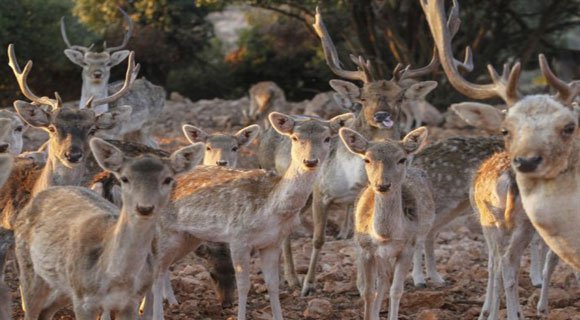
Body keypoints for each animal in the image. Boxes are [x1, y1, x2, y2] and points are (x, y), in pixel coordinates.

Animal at [13, 138, 202, 320]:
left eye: (168, 179)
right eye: (125, 178)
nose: (145, 208)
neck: (118, 278)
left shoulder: (130, 302)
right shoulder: (83, 301)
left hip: (63, 287)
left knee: (46, 312)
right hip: (30, 268)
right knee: (31, 310)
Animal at [61, 8, 165, 147]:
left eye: (108, 63)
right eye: (85, 63)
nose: (97, 73)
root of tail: (161, 90)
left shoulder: (115, 134)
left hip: (147, 125)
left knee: (155, 144)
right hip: (134, 132)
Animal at [340, 126, 436, 320]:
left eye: (401, 159)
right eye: (367, 159)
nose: (383, 185)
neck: (384, 235)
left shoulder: (407, 248)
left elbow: (396, 290)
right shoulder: (366, 251)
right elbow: (368, 292)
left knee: (386, 279)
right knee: (377, 280)